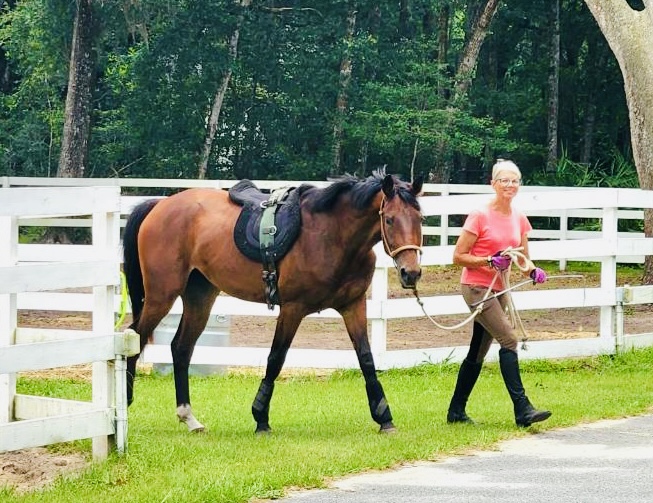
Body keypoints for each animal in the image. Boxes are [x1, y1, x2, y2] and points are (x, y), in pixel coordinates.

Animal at [122, 170, 424, 434]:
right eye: (390, 220)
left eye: (420, 218)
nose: (411, 273)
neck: (330, 234)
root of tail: (161, 204)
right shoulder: (292, 308)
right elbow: (276, 358)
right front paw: (261, 418)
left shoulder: (353, 306)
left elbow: (366, 359)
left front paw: (384, 417)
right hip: (161, 296)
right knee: (134, 337)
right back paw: (124, 405)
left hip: (200, 298)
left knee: (181, 348)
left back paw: (188, 417)